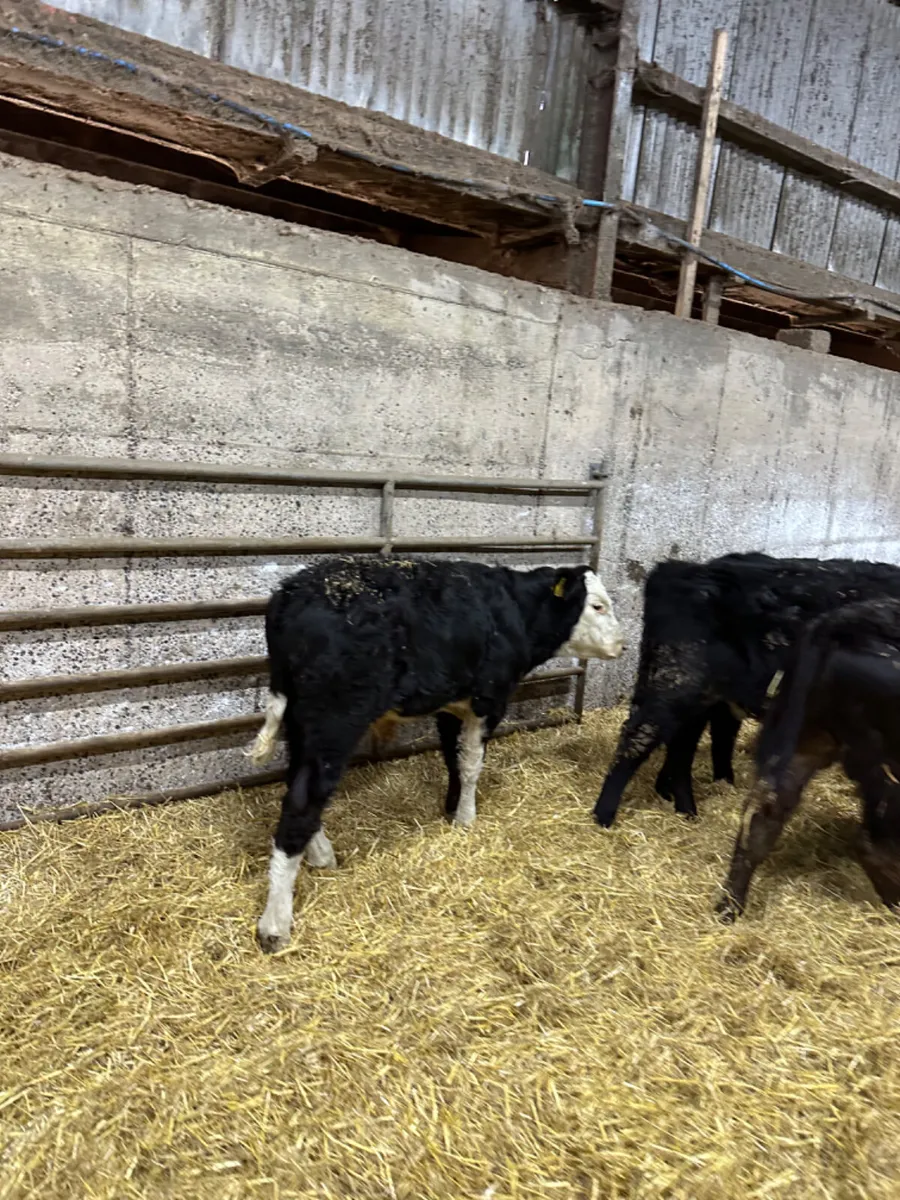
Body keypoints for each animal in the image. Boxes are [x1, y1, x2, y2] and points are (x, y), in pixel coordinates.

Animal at [247, 555, 624, 952]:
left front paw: (452, 806)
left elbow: (452, 759)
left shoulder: (451, 706)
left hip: (298, 719)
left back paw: (320, 854)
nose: (623, 645)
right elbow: (472, 764)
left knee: (297, 782)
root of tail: (290, 592)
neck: (513, 610)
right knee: (302, 802)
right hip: (333, 720)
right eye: (598, 606)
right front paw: (467, 818)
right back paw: (275, 924)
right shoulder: (489, 700)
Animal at [593, 553, 900, 828]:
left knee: (686, 743)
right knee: (639, 735)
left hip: (702, 692)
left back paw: (689, 806)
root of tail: (681, 570)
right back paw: (604, 816)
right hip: (676, 679)